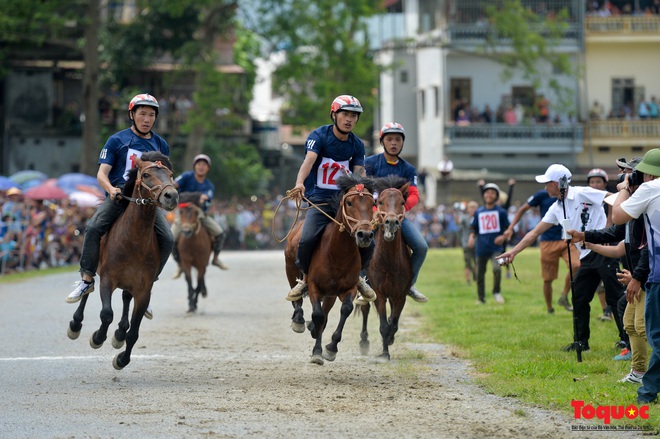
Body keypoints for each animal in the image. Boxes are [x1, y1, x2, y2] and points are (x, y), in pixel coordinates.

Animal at [66, 153, 178, 370]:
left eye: (170, 174)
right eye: (146, 174)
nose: (172, 196)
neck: (134, 240)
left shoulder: (143, 290)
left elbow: (133, 332)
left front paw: (121, 359)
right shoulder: (108, 279)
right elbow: (106, 314)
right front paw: (97, 338)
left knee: (126, 299)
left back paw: (119, 334)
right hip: (94, 263)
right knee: (88, 285)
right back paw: (76, 324)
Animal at [284, 174, 376, 364]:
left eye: (372, 203)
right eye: (349, 203)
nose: (365, 235)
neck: (337, 253)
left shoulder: (348, 288)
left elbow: (344, 310)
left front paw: (330, 348)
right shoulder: (314, 286)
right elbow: (318, 316)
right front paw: (314, 338)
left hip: (330, 295)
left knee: (325, 315)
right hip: (290, 270)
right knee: (297, 298)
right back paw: (299, 319)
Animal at [358, 175, 410, 360]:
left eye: (402, 202)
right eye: (379, 202)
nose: (391, 222)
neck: (388, 262)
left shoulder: (400, 295)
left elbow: (392, 324)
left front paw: (389, 341)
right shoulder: (379, 293)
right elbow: (383, 326)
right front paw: (384, 353)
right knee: (365, 309)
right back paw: (363, 342)